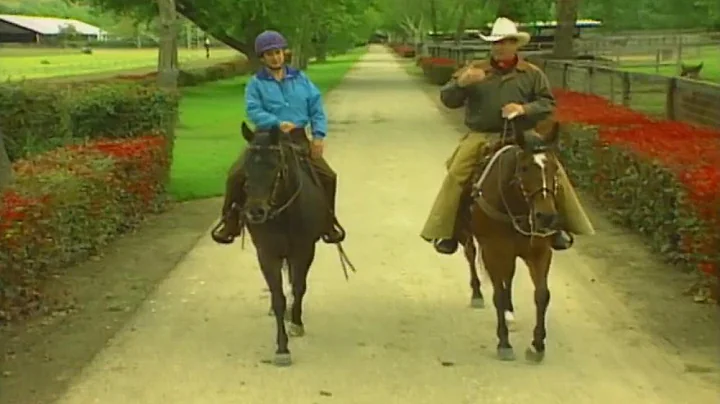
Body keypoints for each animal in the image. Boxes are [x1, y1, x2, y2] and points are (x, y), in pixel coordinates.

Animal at [239, 121, 354, 364]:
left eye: (275, 167)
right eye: (246, 166)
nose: (255, 212)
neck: (284, 214)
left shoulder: (304, 251)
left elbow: (299, 286)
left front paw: (296, 323)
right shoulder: (267, 254)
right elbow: (278, 298)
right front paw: (282, 348)